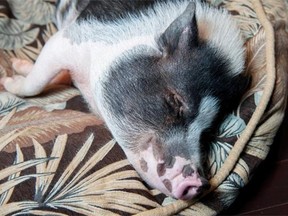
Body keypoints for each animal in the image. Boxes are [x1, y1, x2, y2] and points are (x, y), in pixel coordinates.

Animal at [0, 0, 249, 201]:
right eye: (175, 102)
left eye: (207, 132)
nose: (199, 185)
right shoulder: (67, 40)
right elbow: (36, 81)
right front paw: (8, 82)